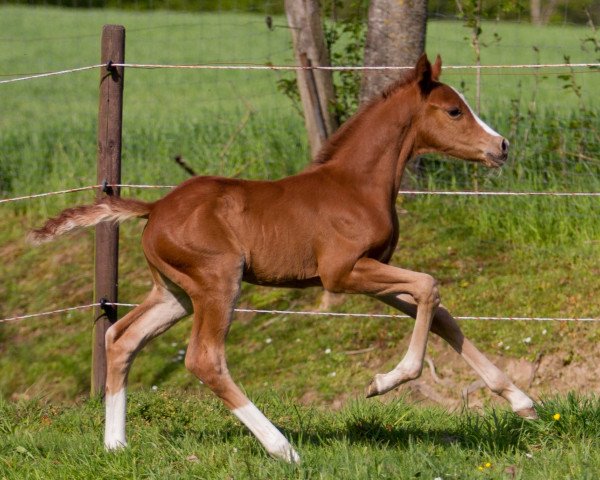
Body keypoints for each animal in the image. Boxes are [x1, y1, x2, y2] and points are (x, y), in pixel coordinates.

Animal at [31, 54, 536, 464]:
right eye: (454, 110)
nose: (502, 146)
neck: (357, 184)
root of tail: (154, 208)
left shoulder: (375, 271)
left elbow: (442, 316)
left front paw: (521, 401)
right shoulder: (342, 273)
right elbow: (431, 287)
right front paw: (383, 382)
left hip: (175, 292)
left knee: (121, 337)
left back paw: (116, 445)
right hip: (218, 281)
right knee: (204, 359)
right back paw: (283, 448)